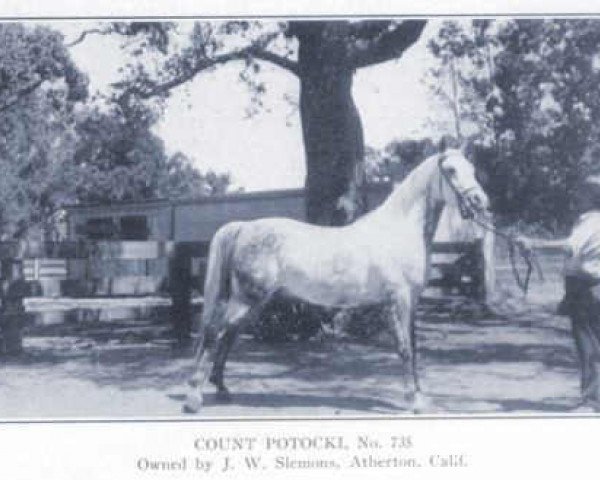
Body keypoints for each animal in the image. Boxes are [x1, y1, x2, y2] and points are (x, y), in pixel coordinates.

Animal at [183, 149, 488, 412]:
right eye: (451, 170)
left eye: (473, 169)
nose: (480, 202)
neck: (398, 230)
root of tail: (244, 227)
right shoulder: (398, 299)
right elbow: (403, 349)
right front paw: (412, 400)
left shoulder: (412, 302)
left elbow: (413, 348)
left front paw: (420, 397)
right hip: (245, 299)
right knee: (213, 332)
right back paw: (194, 398)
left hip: (253, 303)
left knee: (228, 335)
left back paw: (222, 388)